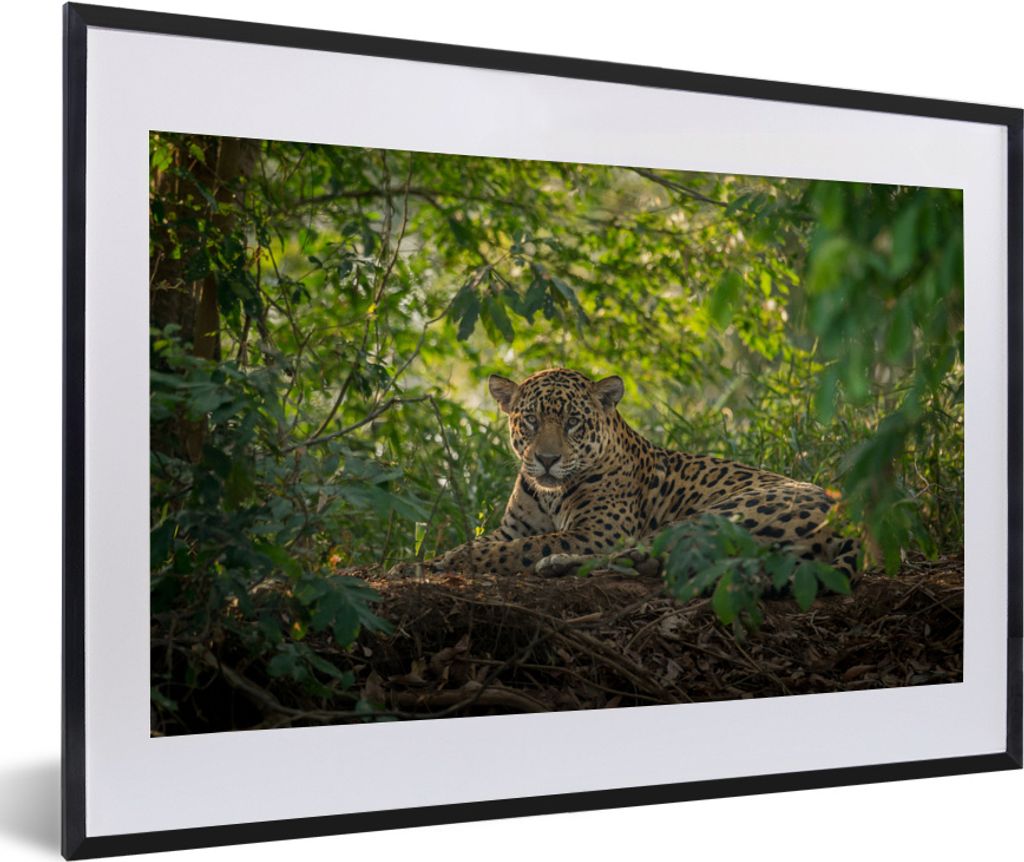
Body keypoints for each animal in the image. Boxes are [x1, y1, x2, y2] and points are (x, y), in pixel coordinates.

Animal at [401, 367, 860, 582]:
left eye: (572, 422)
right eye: (530, 420)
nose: (547, 460)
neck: (548, 493)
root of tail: (846, 521)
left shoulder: (596, 531)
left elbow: (520, 548)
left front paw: (457, 561)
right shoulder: (511, 527)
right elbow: (490, 540)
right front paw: (418, 564)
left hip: (714, 516)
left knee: (637, 556)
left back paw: (555, 563)